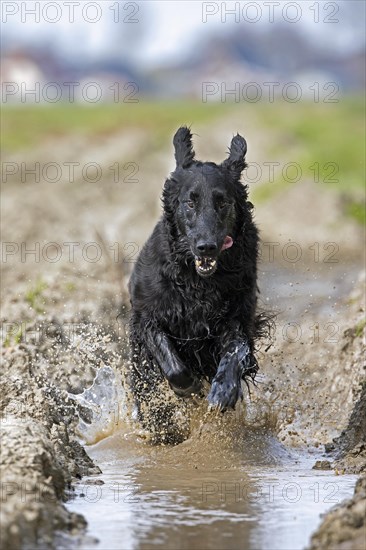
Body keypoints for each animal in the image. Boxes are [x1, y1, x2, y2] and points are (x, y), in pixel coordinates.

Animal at [128, 128, 264, 444]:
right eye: (190, 202)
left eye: (222, 202)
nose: (206, 247)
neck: (198, 282)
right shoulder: (147, 316)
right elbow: (173, 364)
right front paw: (188, 387)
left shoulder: (238, 319)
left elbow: (236, 351)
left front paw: (223, 391)